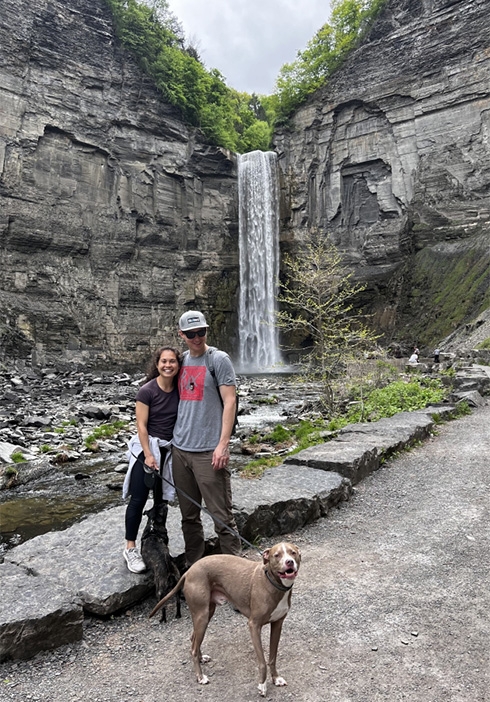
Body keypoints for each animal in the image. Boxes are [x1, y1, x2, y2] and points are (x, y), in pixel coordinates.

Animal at [149, 540, 300, 696]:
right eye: (277, 555)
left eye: (293, 552)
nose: (289, 562)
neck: (273, 583)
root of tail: (188, 571)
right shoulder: (254, 626)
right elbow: (263, 662)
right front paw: (262, 685)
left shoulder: (277, 624)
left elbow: (272, 657)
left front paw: (276, 678)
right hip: (202, 616)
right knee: (193, 648)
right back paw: (200, 677)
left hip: (206, 613)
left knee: (193, 639)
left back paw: (202, 658)